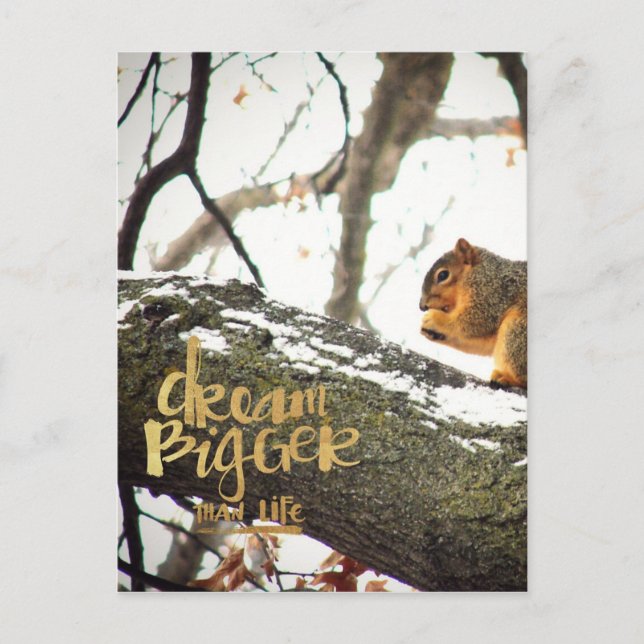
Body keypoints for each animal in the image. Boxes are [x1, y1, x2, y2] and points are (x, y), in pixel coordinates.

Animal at [419, 238, 527, 389]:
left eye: (443, 275)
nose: (422, 306)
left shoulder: (491, 293)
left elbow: (474, 322)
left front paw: (434, 319)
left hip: (517, 331)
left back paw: (506, 378)